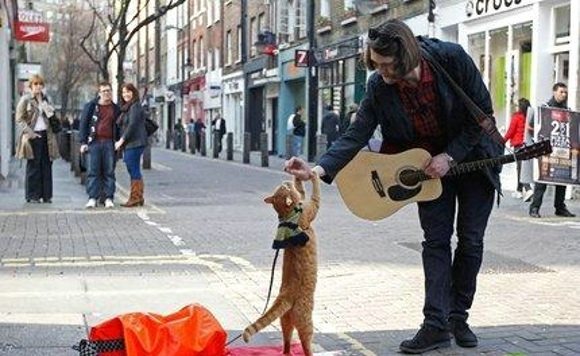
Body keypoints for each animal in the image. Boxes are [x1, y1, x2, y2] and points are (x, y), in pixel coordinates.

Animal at [241, 174, 322, 356]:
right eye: (284, 188)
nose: (286, 181)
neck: (288, 215)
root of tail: (286, 294)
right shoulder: (312, 207)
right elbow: (315, 192)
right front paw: (313, 174)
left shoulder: (303, 200)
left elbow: (302, 191)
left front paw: (299, 177)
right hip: (306, 322)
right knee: (306, 344)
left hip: (285, 320)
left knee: (286, 342)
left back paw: (287, 352)